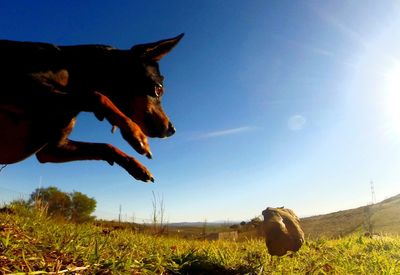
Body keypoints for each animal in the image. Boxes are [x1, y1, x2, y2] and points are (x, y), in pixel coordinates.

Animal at [0, 33, 184, 183]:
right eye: (159, 89)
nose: (172, 129)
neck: (75, 68)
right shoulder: (19, 85)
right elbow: (96, 96)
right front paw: (134, 133)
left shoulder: (52, 149)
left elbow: (104, 146)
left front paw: (137, 167)